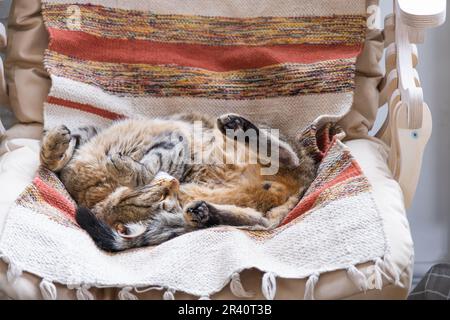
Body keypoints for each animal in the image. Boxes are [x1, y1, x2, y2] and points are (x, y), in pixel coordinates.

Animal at [41, 114, 316, 251]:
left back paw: (237, 126)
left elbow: (145, 166)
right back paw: (204, 212)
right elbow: (58, 161)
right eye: (165, 201)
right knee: (249, 219)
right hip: (252, 214)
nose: (173, 183)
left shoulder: (174, 144)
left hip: (271, 152)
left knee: (284, 153)